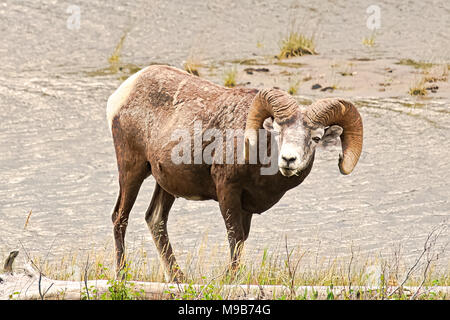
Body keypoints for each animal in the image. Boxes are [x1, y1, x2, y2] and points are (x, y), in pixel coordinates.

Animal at [106, 64, 362, 280]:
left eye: (316, 138)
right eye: (278, 132)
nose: (289, 160)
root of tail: (124, 91)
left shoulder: (246, 207)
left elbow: (242, 240)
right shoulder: (228, 191)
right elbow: (235, 238)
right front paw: (232, 278)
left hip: (166, 184)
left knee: (156, 220)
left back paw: (179, 278)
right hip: (132, 170)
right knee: (120, 217)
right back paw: (122, 275)